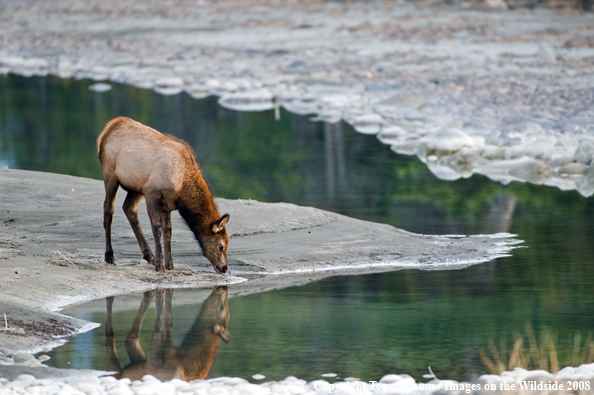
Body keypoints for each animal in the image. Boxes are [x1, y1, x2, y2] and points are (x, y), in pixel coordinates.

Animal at [97, 116, 229, 274]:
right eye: (221, 246)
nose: (224, 268)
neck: (182, 187)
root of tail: (105, 132)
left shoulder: (167, 203)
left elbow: (168, 231)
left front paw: (169, 264)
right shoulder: (151, 192)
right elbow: (157, 228)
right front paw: (160, 266)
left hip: (137, 186)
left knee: (129, 208)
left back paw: (149, 256)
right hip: (110, 174)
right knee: (108, 209)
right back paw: (109, 256)